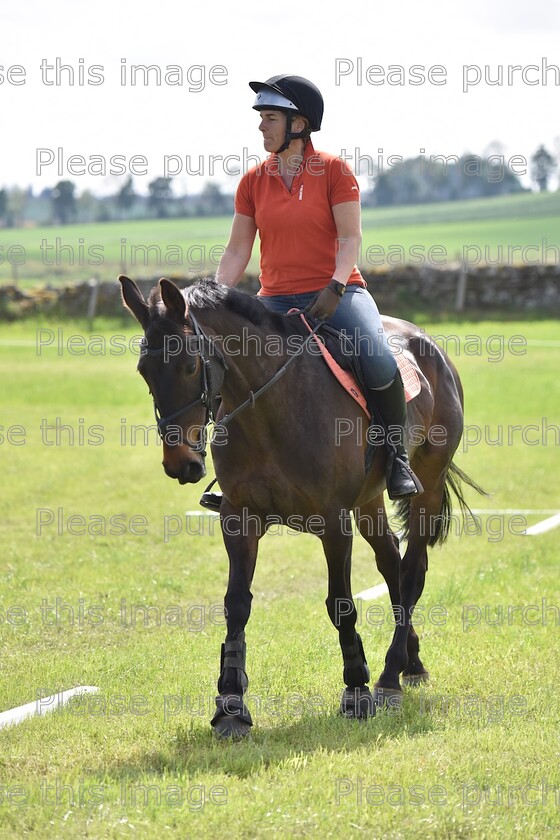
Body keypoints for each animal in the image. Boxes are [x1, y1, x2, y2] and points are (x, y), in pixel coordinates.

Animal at [120, 274, 484, 736]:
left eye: (188, 365)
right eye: (144, 371)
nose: (180, 463)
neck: (269, 409)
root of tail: (429, 344)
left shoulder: (333, 522)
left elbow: (340, 605)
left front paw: (356, 692)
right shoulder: (240, 518)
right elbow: (236, 605)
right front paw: (231, 707)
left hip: (428, 485)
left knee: (413, 570)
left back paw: (388, 677)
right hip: (369, 500)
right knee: (391, 563)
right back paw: (410, 662)